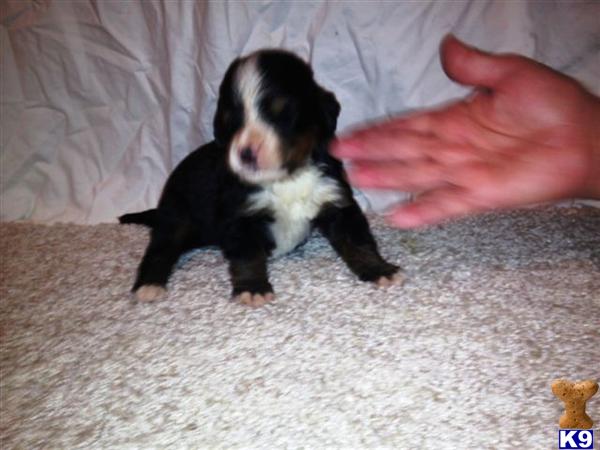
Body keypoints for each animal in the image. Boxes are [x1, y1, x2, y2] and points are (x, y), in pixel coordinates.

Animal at [119, 51, 404, 308]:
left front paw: (380, 270)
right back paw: (149, 285)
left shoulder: (337, 202)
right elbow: (248, 257)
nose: (246, 153)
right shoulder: (240, 216)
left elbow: (358, 241)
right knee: (160, 250)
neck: (287, 180)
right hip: (175, 217)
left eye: (282, 114)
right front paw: (253, 289)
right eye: (231, 121)